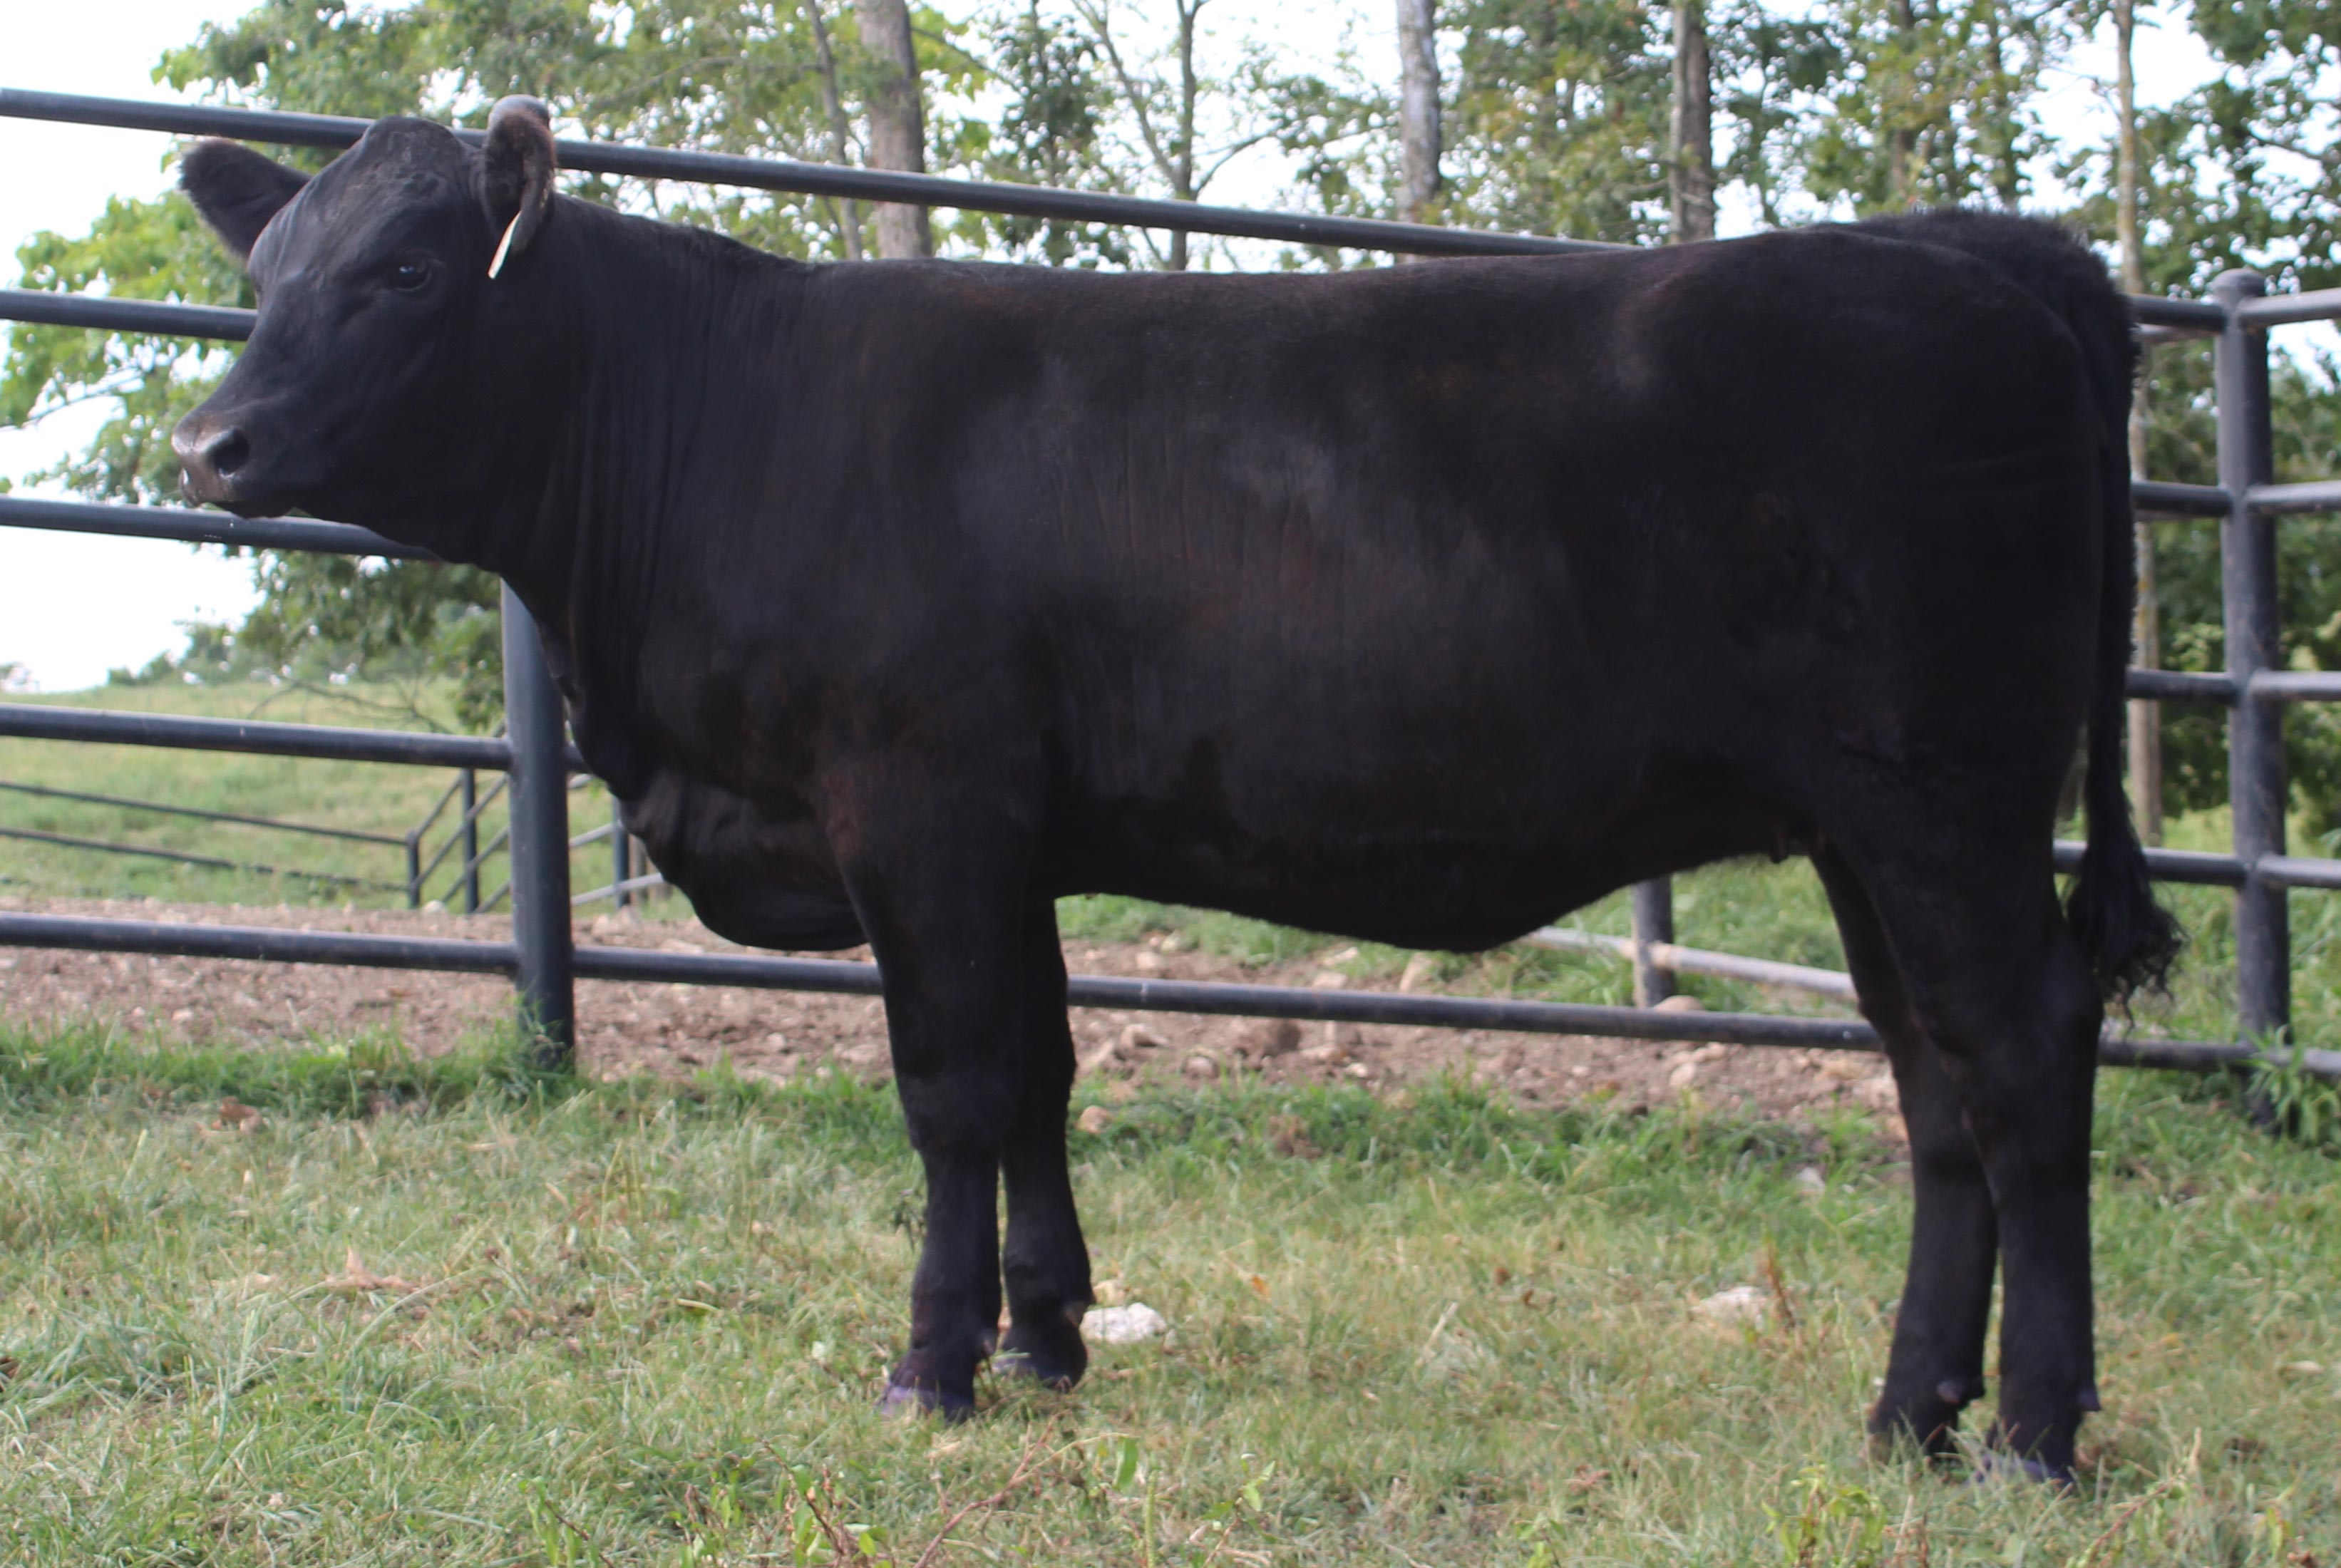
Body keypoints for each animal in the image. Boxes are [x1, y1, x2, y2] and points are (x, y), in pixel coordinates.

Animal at [170, 96, 2177, 1482]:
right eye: (262, 280)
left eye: (405, 272)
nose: (211, 443)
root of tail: (1979, 253)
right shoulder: (1013, 837)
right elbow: (1048, 1069)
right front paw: (1049, 1338)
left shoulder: (918, 805)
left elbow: (956, 1089)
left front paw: (933, 1366)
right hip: (1863, 826)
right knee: (1931, 1084)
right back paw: (1909, 1413)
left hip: (1941, 797)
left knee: (2017, 1057)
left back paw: (2033, 1435)